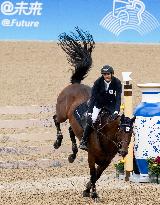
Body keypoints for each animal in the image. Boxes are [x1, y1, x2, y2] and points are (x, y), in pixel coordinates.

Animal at [53, 27, 135, 199]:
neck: (107, 136)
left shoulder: (106, 161)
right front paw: (94, 193)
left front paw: (87, 190)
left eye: (131, 133)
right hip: (63, 113)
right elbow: (92, 173)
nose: (123, 151)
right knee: (56, 119)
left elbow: (97, 175)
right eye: (120, 131)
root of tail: (75, 84)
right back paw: (57, 142)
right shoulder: (92, 157)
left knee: (71, 130)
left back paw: (73, 155)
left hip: (73, 121)